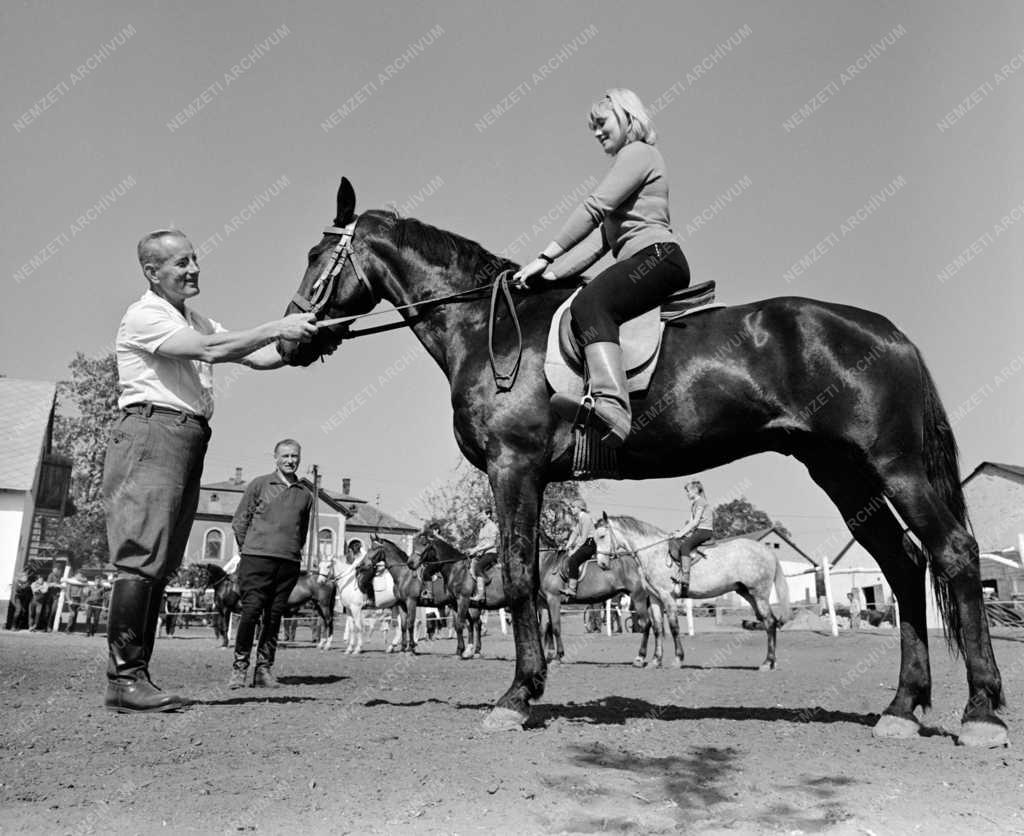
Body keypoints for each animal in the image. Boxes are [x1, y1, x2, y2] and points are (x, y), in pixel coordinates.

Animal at [593, 512, 790, 667]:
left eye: (602, 536)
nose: (601, 564)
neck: (654, 553)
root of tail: (767, 551)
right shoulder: (655, 598)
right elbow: (657, 627)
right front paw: (656, 660)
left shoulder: (668, 597)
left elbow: (674, 627)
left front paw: (678, 659)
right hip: (748, 593)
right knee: (769, 621)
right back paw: (771, 661)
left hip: (759, 594)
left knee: (769, 622)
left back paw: (767, 662)